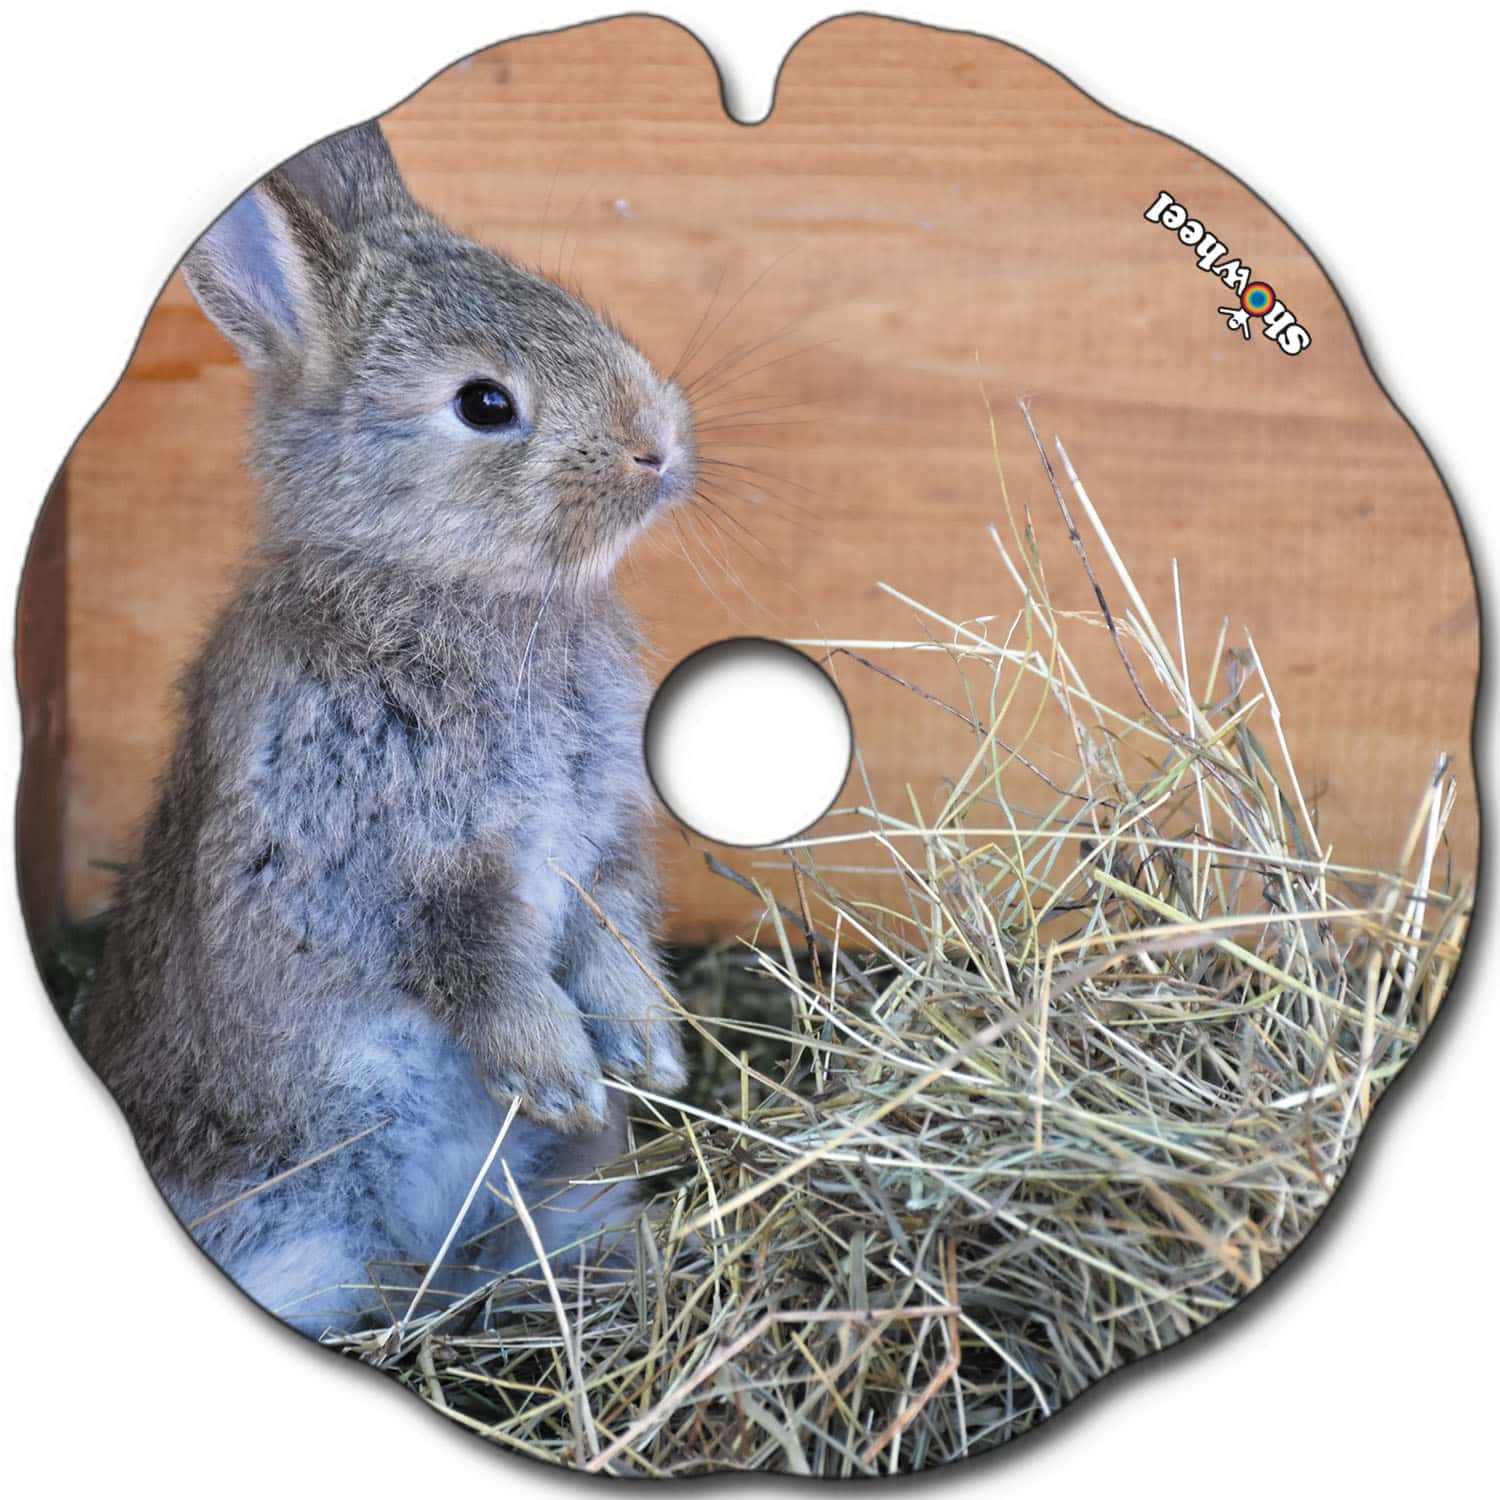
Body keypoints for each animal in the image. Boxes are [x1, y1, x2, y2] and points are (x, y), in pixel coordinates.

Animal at [82, 120, 692, 1339]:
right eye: (486, 405)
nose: (656, 443)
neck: (440, 586)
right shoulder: (381, 856)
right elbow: (471, 962)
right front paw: (559, 1074)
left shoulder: (602, 841)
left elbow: (612, 932)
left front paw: (648, 1049)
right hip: (301, 1225)